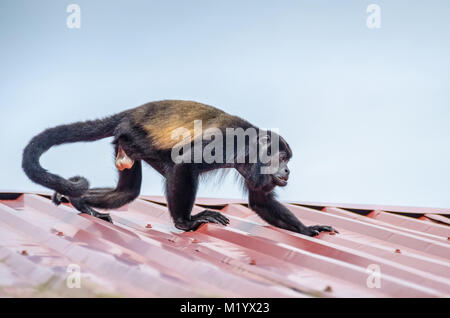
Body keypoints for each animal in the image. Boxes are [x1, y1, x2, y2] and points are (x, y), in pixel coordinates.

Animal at [22, 99, 338, 236]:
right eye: (282, 159)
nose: (288, 171)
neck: (250, 146)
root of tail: (129, 114)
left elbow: (260, 201)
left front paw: (308, 228)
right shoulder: (227, 143)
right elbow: (185, 162)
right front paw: (186, 222)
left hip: (127, 145)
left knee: (127, 192)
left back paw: (80, 203)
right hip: (138, 135)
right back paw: (186, 220)